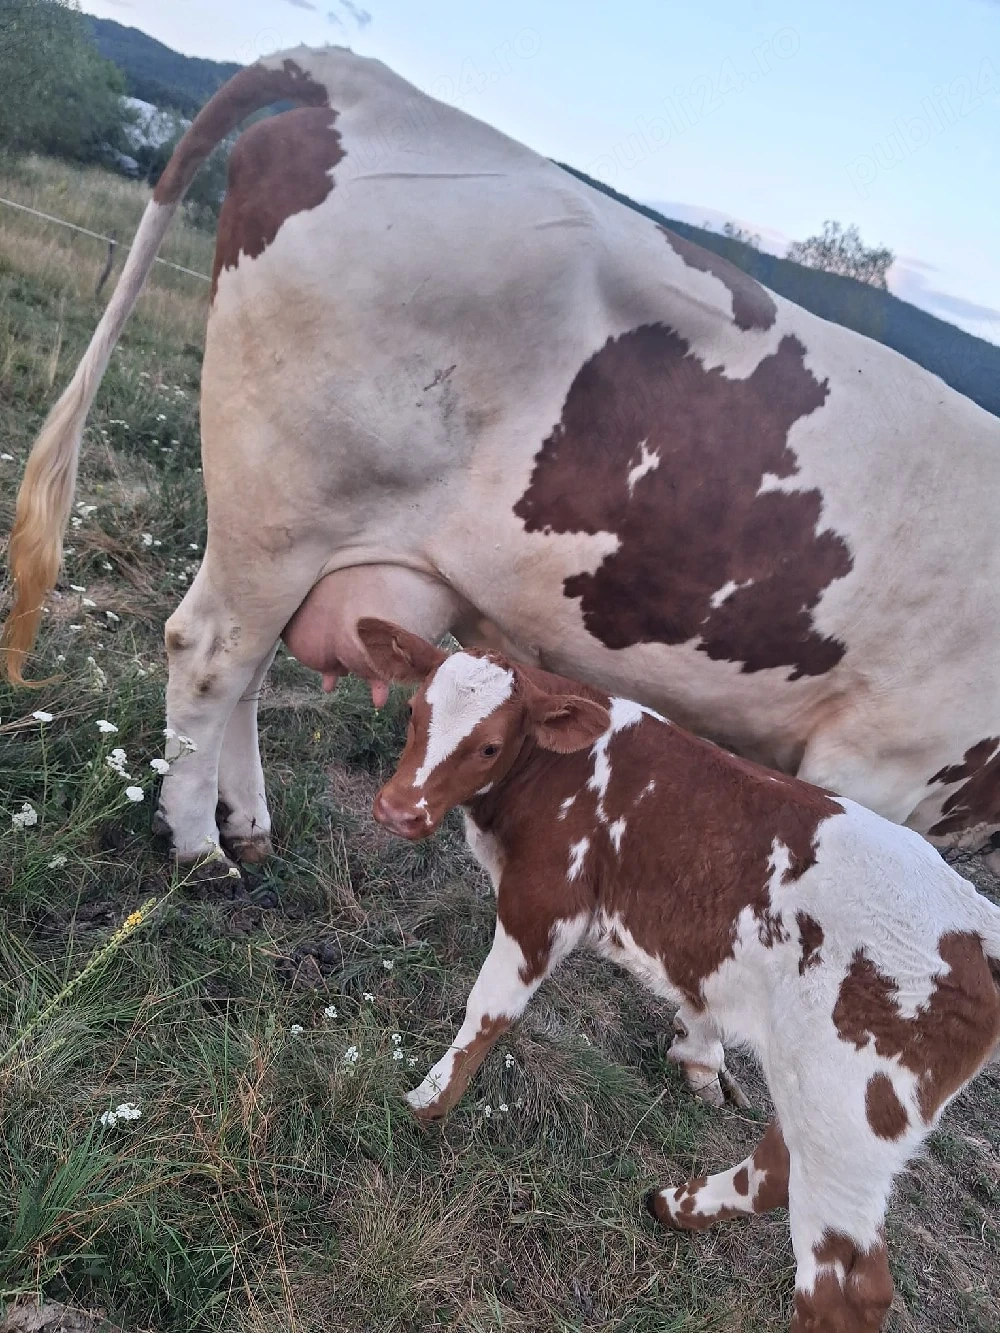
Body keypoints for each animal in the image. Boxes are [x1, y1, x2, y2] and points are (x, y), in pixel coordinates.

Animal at [3, 44, 1000, 873]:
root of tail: (371, 87)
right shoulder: (882, 758)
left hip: (308, 535)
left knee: (250, 666)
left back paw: (244, 823)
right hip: (281, 503)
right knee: (211, 651)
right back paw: (196, 844)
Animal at [358, 616, 1000, 1333]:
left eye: (490, 746)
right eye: (413, 713)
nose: (398, 811)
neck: (564, 770)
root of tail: (977, 926)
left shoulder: (545, 902)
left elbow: (488, 1009)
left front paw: (426, 1103)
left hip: (854, 1118)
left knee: (845, 1286)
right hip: (820, 1097)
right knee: (778, 1165)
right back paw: (676, 1207)